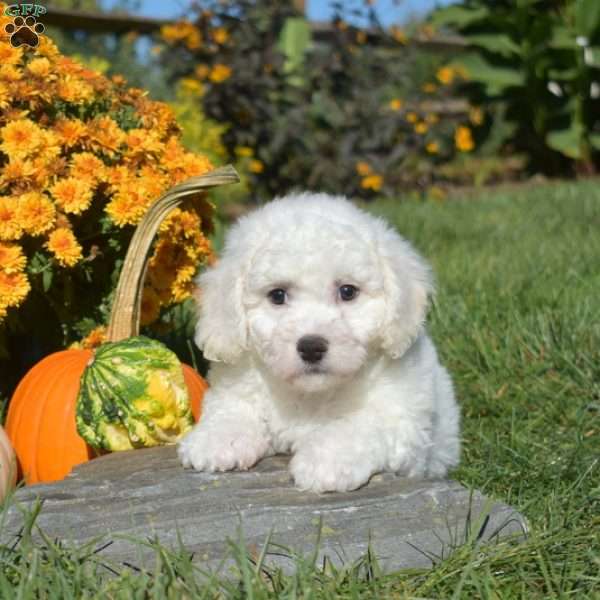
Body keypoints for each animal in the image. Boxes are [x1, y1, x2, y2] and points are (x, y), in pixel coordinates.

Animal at [177, 192, 460, 492]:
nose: (311, 347)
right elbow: (232, 408)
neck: (312, 394)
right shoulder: (238, 383)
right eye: (277, 295)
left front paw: (326, 462)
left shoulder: (400, 418)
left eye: (348, 291)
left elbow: (361, 424)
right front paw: (216, 441)